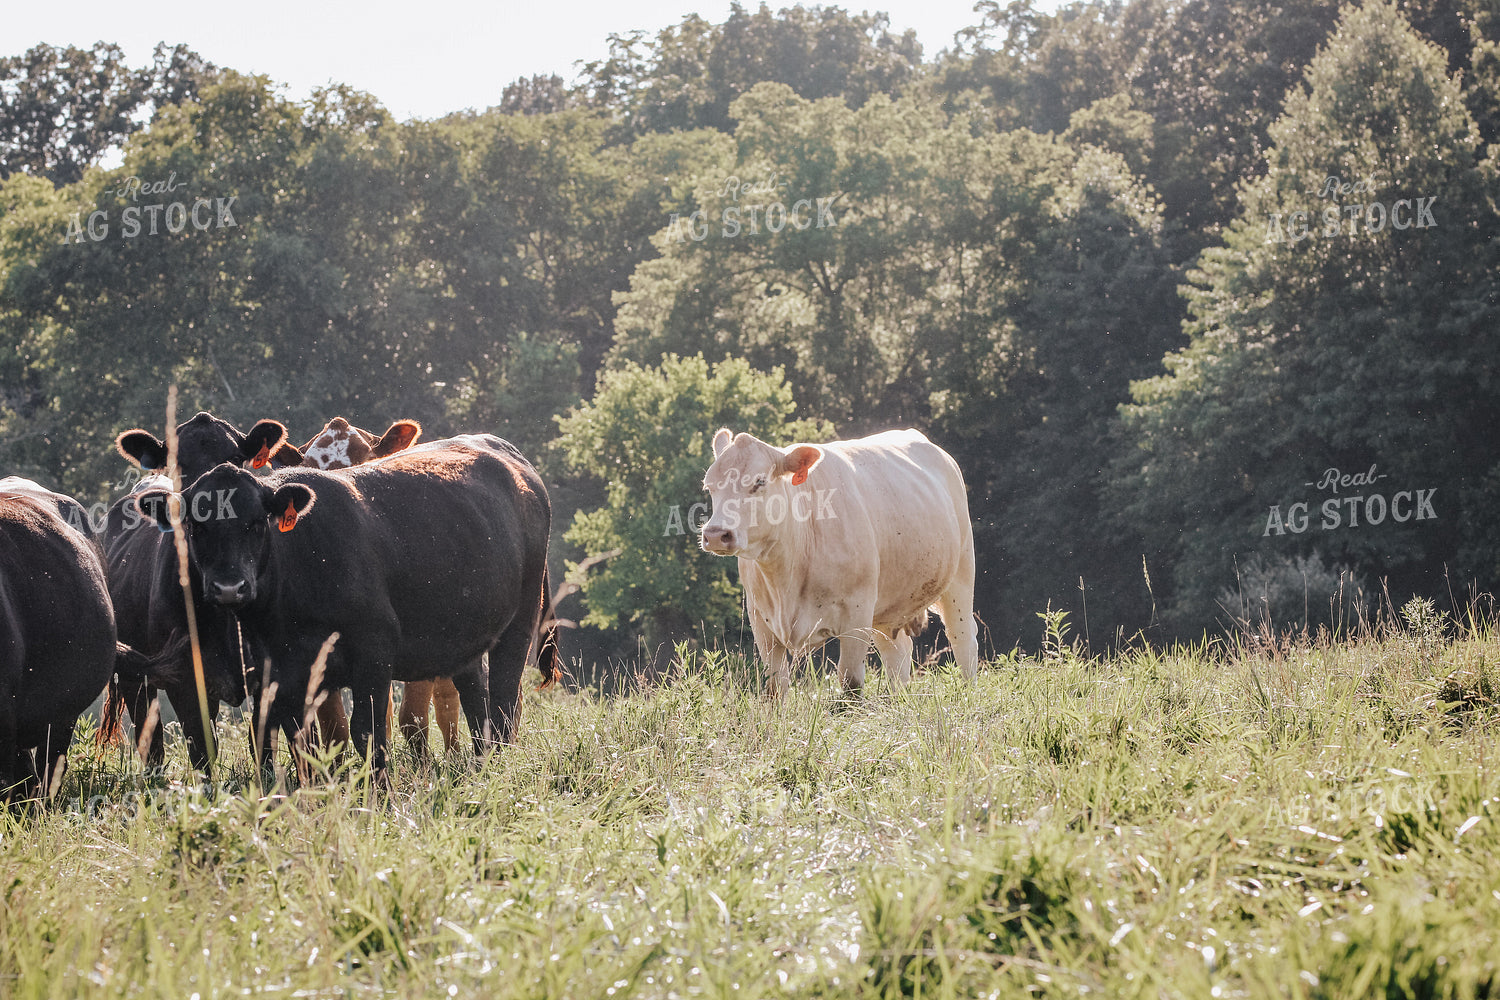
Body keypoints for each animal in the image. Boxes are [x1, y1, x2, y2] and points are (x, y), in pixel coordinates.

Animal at [135, 434, 559, 783]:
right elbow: (288, 738)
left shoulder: (374, 648)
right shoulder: (278, 671)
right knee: (477, 703)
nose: (228, 587)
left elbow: (367, 731)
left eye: (256, 524)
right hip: (462, 636)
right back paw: (481, 765)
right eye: (197, 526)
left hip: (520, 621)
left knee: (503, 703)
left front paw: (379, 797)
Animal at [699, 428, 979, 696]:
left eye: (759, 481)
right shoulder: (761, 621)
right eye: (709, 486)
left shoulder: (857, 614)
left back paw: (968, 695)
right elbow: (775, 687)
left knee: (963, 638)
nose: (715, 534)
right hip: (888, 608)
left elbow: (850, 683)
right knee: (897, 652)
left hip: (961, 576)